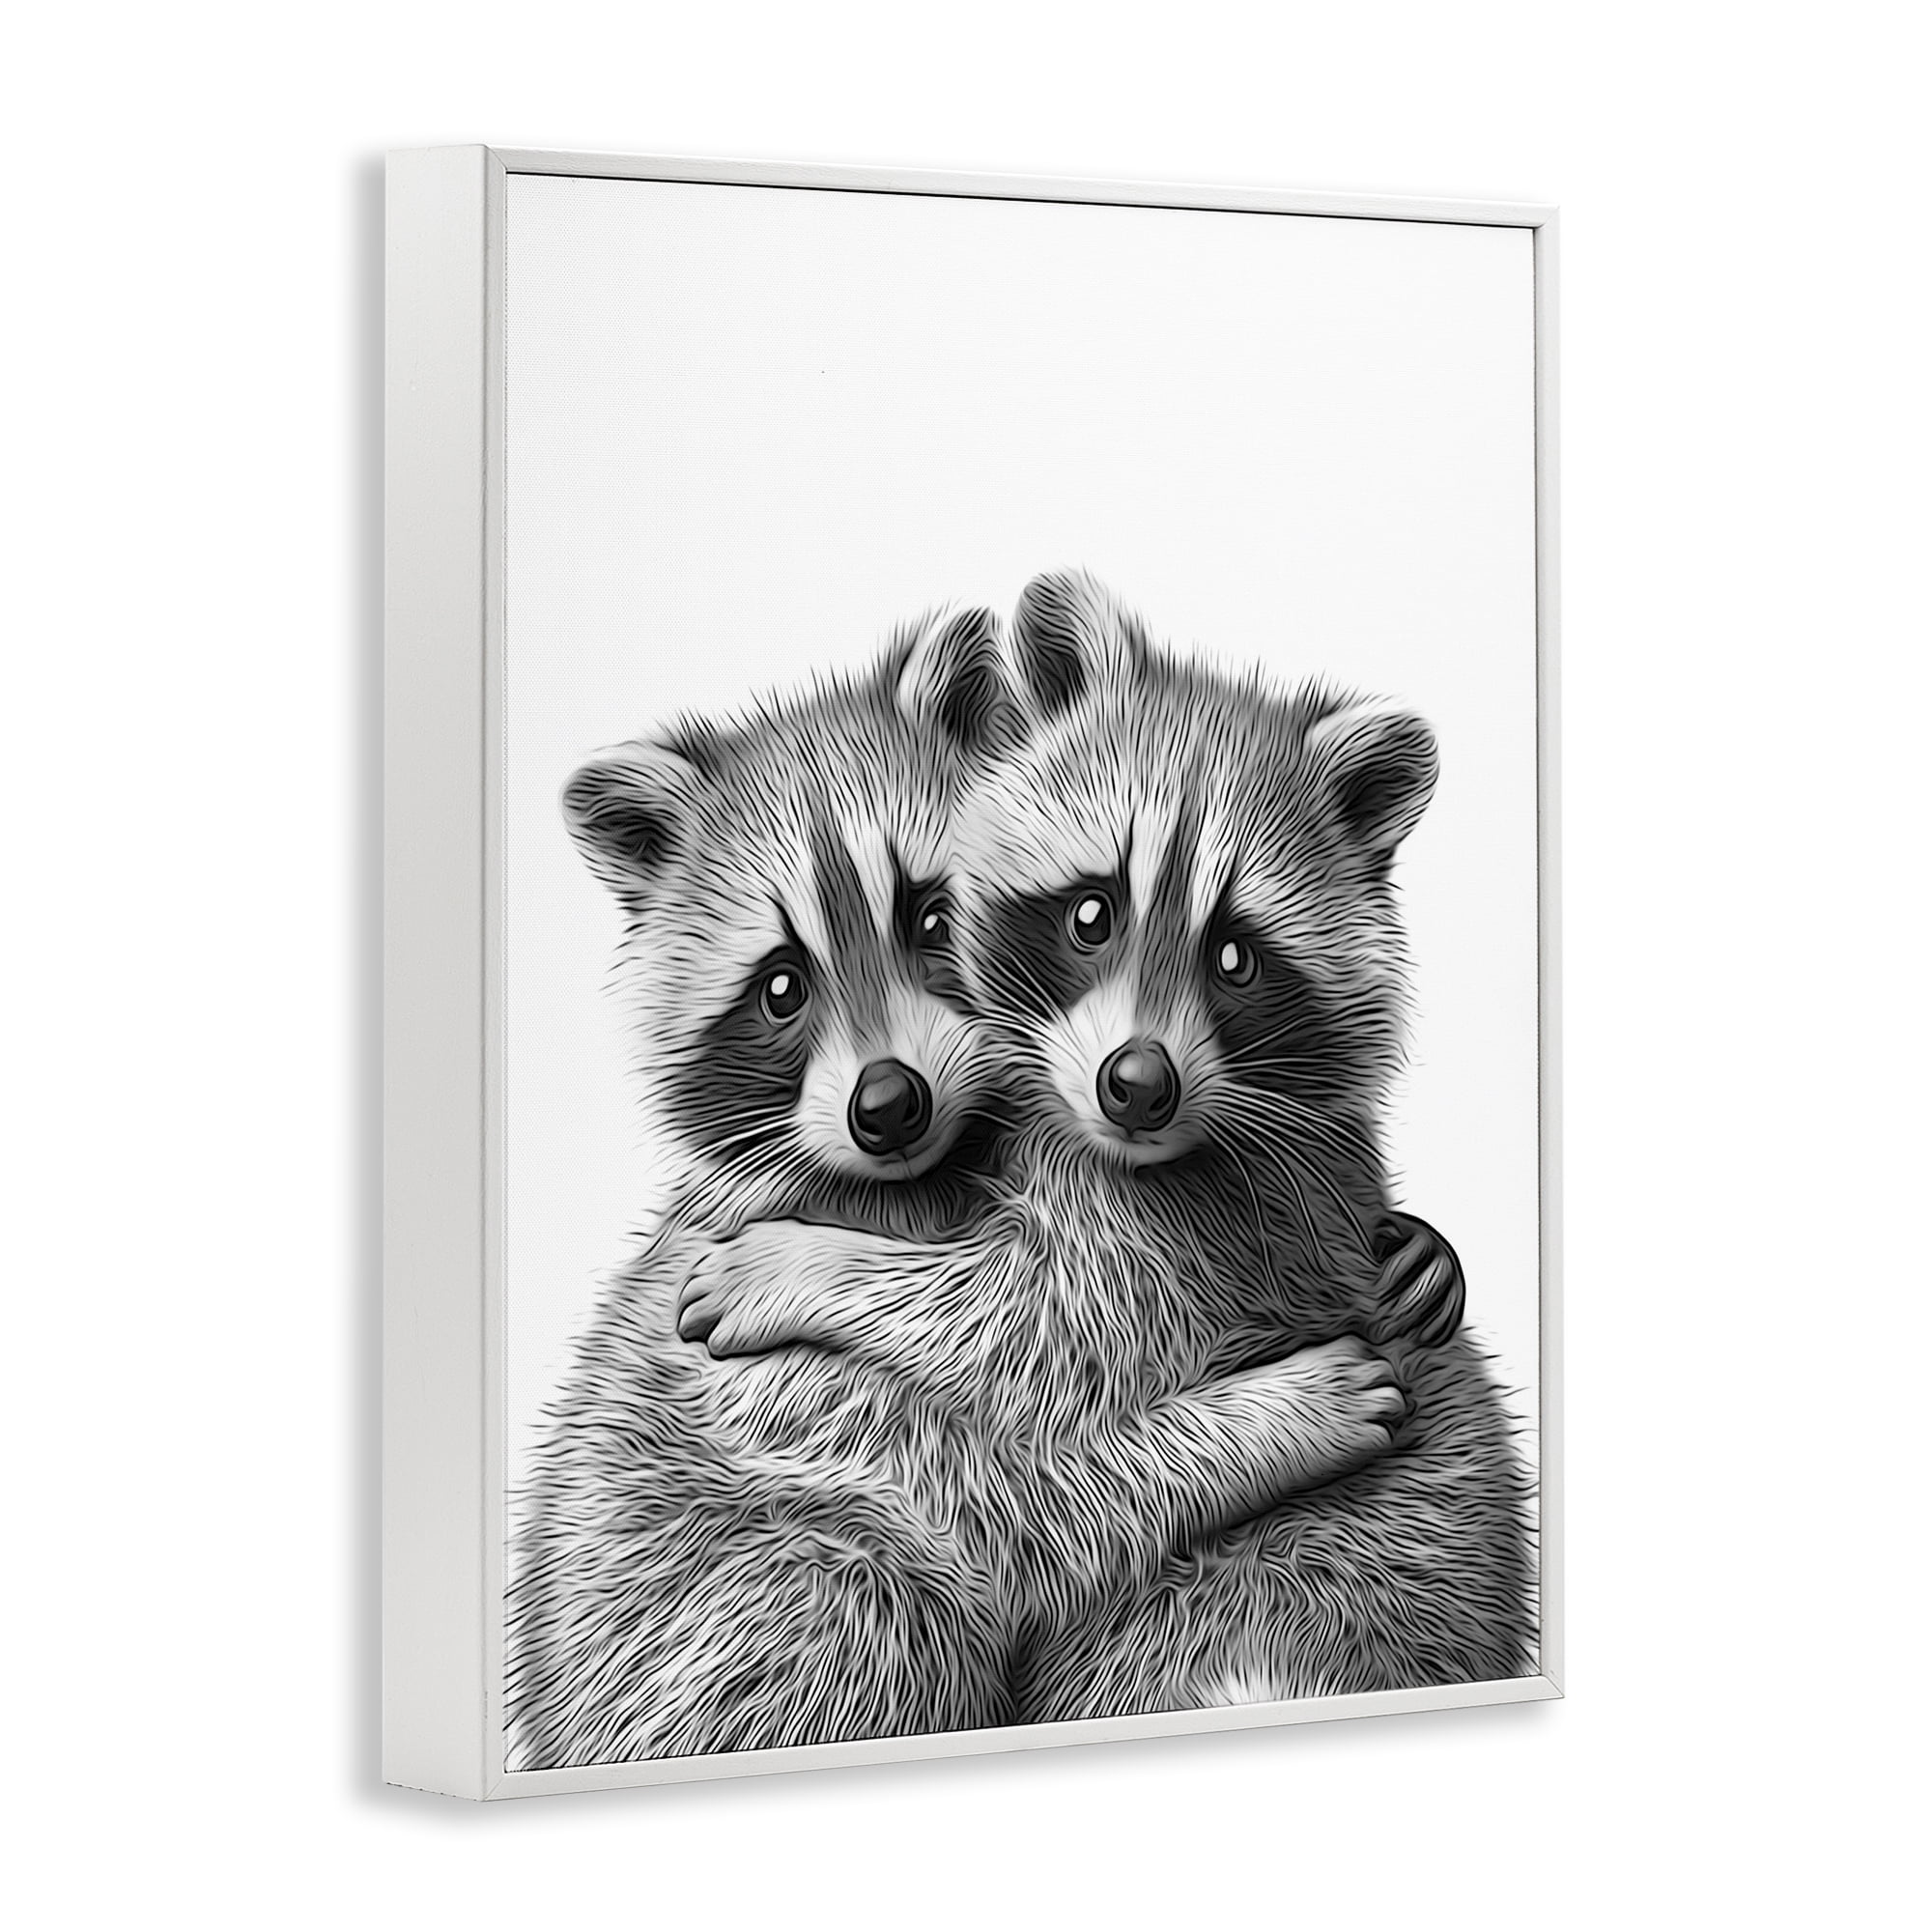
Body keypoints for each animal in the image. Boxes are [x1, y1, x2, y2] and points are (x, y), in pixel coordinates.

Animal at [506, 604, 1423, 1771]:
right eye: (779, 986)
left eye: (930, 922)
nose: (888, 1103)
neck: (935, 1170)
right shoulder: (761, 1391)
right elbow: (1011, 1513)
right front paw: (1267, 1422)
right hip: (757, 1621)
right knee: (858, 1599)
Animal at [675, 573, 1513, 1708]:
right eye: (1090, 913)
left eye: (1237, 956)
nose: (1138, 1087)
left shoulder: (1203, 1228)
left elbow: (1023, 1322)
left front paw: (801, 1264)